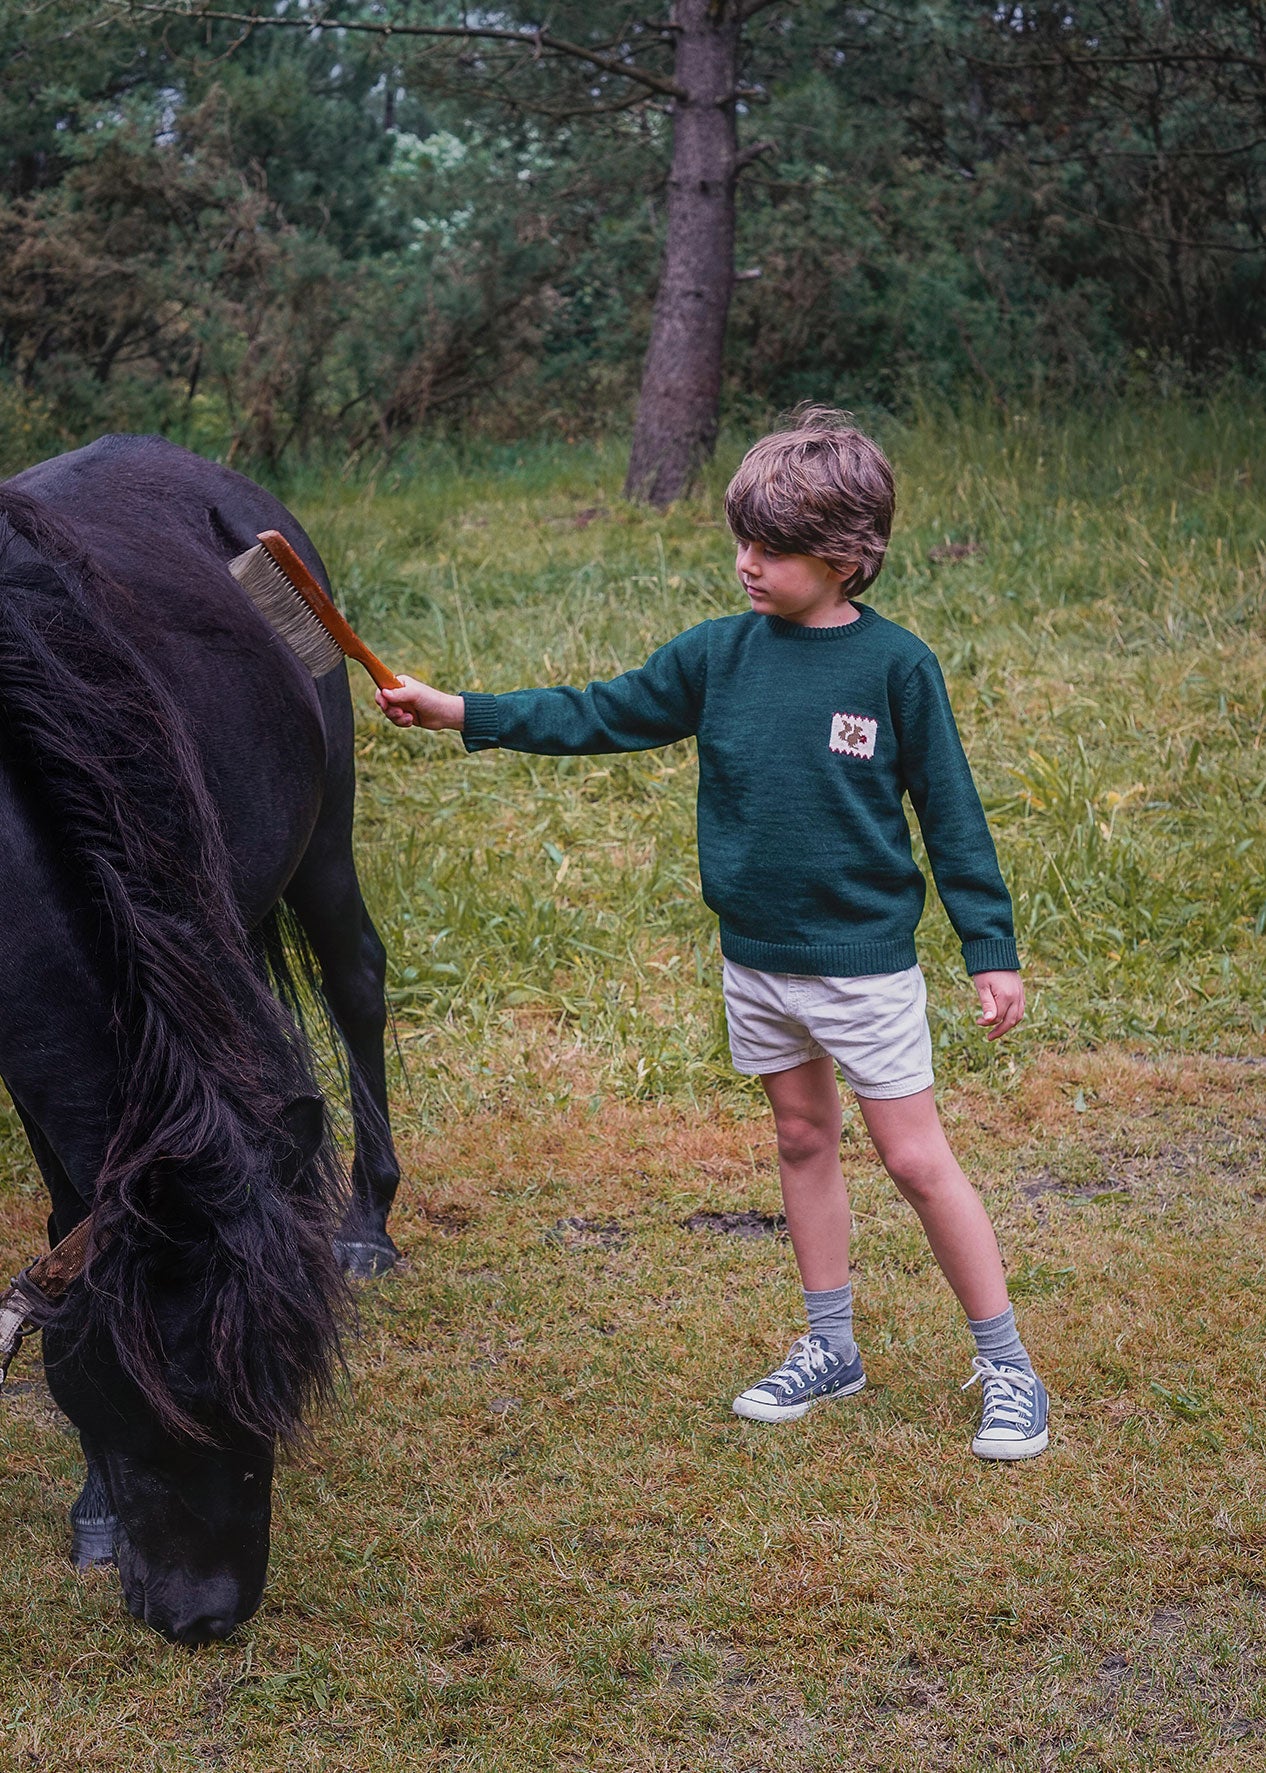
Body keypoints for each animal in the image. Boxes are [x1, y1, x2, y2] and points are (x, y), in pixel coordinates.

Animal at [0, 432, 402, 1645]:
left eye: (277, 1393)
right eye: (154, 1399)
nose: (206, 1619)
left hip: (326, 835)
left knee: (357, 984)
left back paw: (367, 1222)